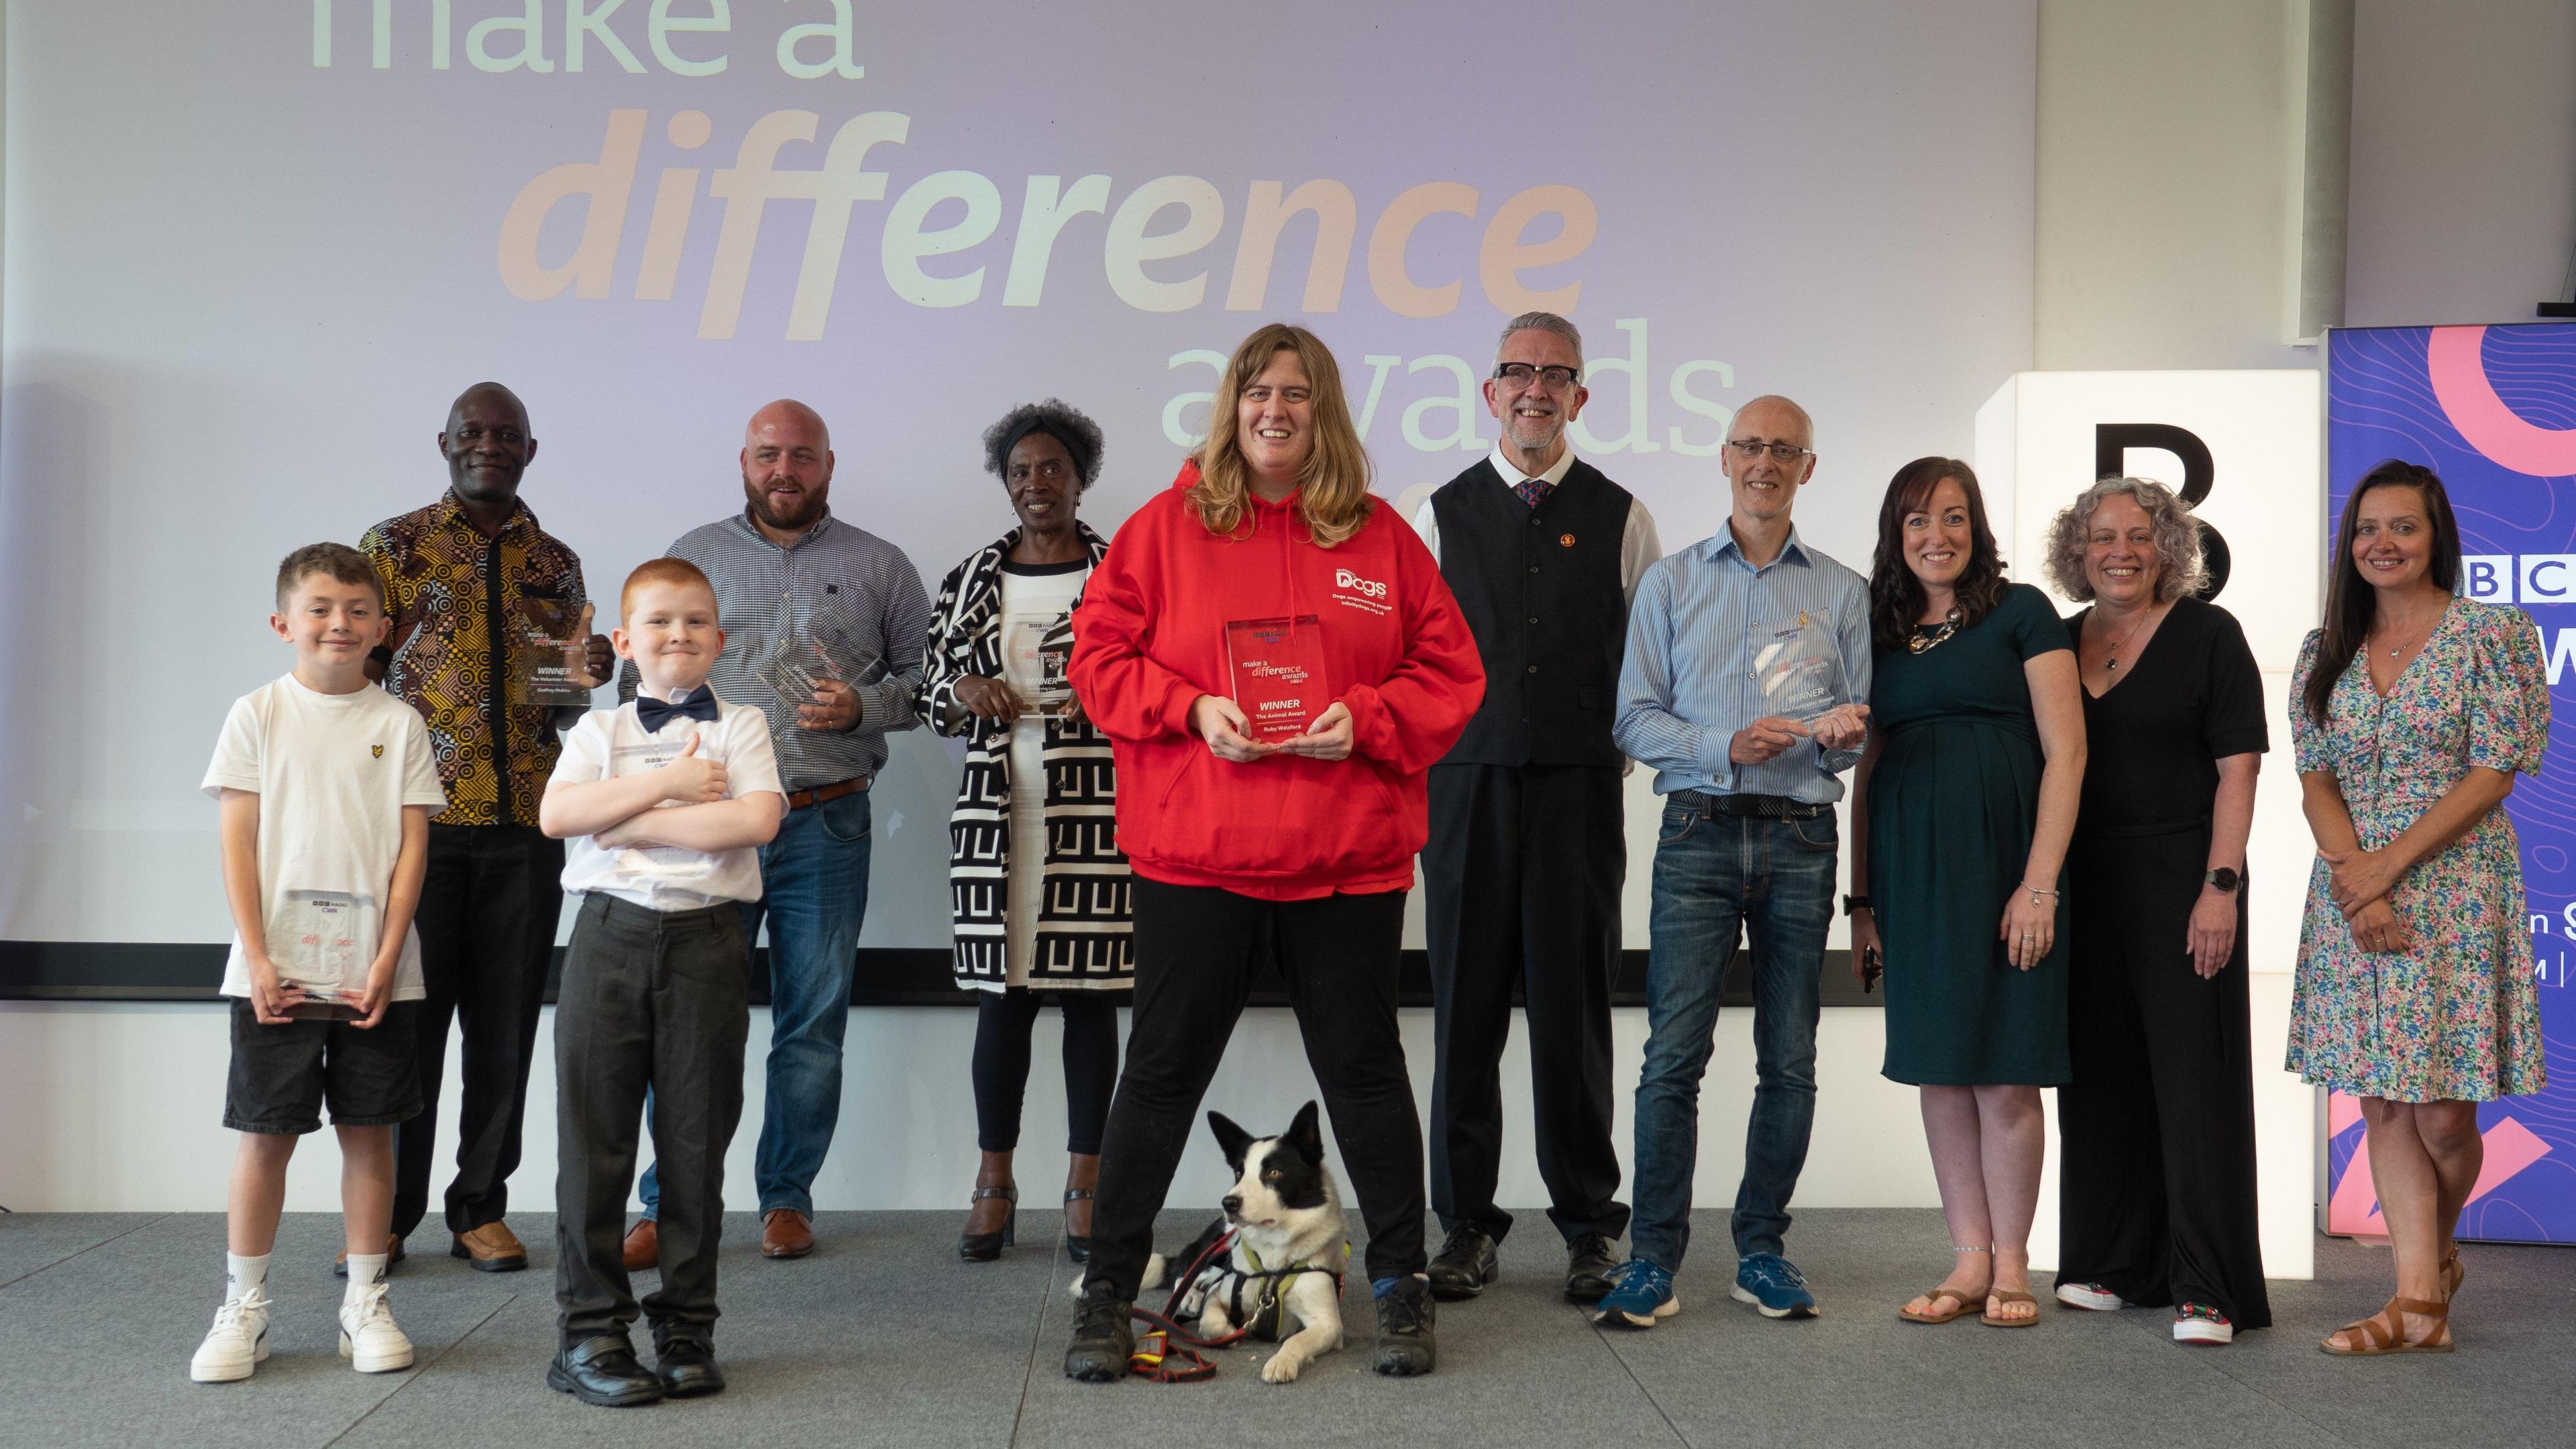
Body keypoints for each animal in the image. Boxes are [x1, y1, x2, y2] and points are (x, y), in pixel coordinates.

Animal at [1071, 1093, 1350, 1371]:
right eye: (1239, 1172)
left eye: (1274, 1172)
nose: (1229, 1203)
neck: (1273, 1260)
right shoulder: (1222, 1296)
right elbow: (1211, 1319)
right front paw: (1225, 1331)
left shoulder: (1329, 1324)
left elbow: (1296, 1340)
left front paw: (1281, 1363)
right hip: (1215, 1244)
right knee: (1184, 1272)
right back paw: (1192, 1295)